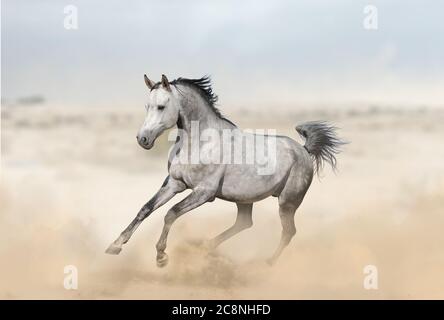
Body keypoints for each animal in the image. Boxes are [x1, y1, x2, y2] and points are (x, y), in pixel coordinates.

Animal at [106, 75, 346, 268]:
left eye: (162, 106)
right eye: (147, 106)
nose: (143, 139)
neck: (200, 142)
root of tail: (303, 150)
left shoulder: (204, 192)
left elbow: (171, 213)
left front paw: (161, 256)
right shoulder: (174, 183)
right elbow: (145, 209)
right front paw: (114, 246)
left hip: (288, 202)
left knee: (288, 232)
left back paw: (267, 263)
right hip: (245, 199)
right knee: (244, 223)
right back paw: (205, 248)